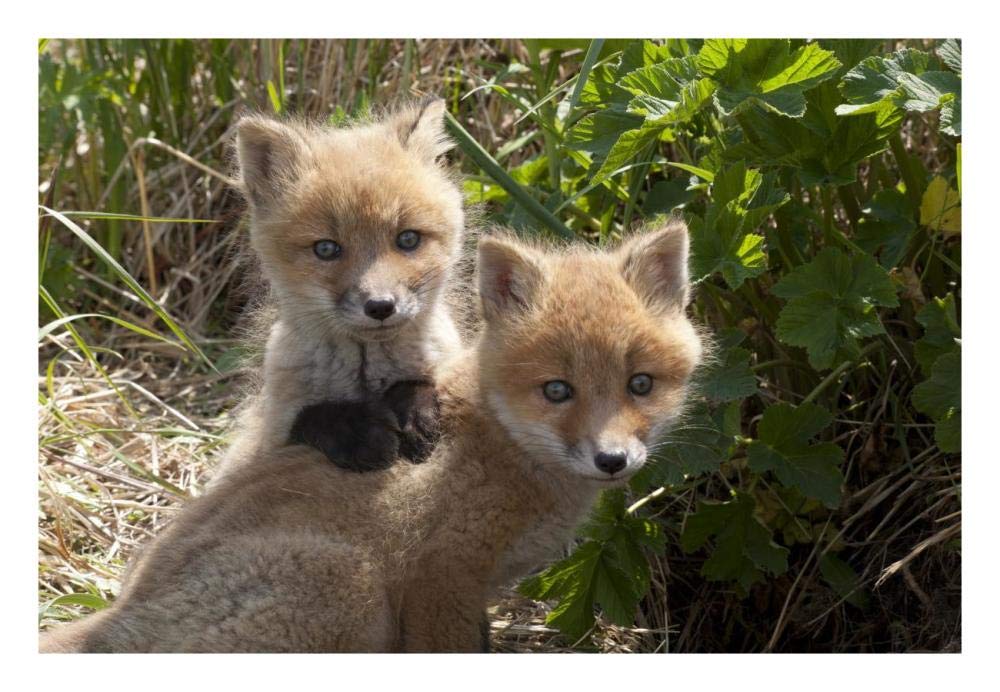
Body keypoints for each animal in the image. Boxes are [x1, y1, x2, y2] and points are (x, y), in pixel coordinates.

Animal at [39, 222, 702, 653]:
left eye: (640, 384)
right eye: (557, 390)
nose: (612, 459)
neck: (502, 445)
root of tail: (122, 616)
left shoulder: (472, 593)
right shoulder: (440, 576)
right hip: (351, 589)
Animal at [217, 98, 466, 477]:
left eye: (407, 239)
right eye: (326, 249)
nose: (380, 306)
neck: (366, 376)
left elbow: (422, 383)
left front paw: (414, 412)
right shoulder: (266, 435)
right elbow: (313, 416)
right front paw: (358, 432)